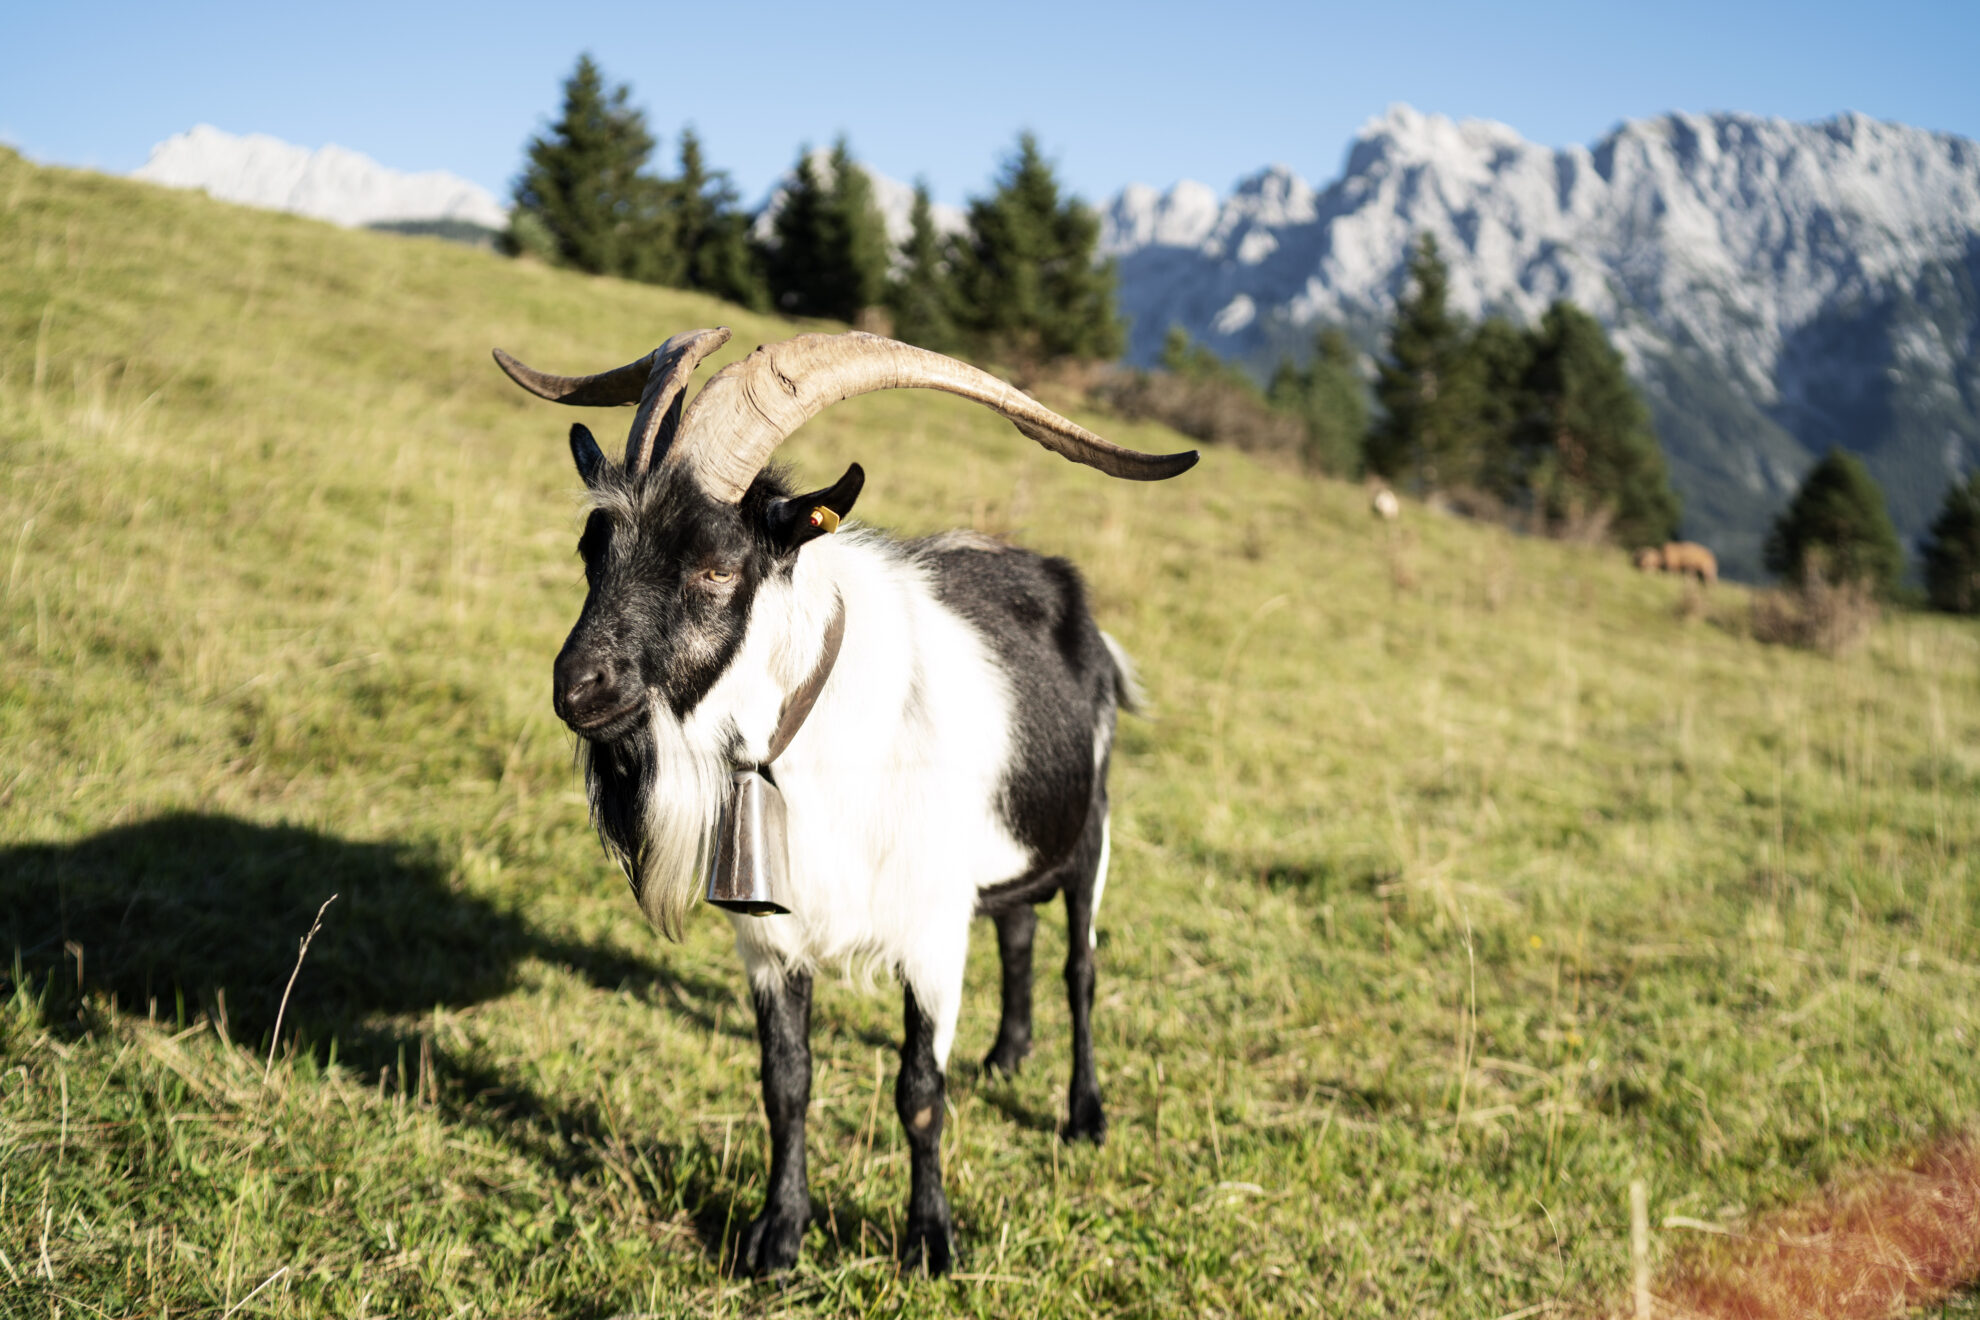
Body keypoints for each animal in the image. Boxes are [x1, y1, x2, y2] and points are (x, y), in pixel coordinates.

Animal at [491, 330, 1203, 1282]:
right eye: (591, 549)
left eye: (716, 567)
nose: (580, 688)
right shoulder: (769, 940)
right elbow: (785, 1082)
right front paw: (776, 1236)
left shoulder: (932, 934)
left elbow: (920, 1091)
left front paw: (931, 1240)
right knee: (1018, 930)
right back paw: (1007, 1056)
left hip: (1092, 831)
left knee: (1078, 967)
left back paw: (1083, 1113)